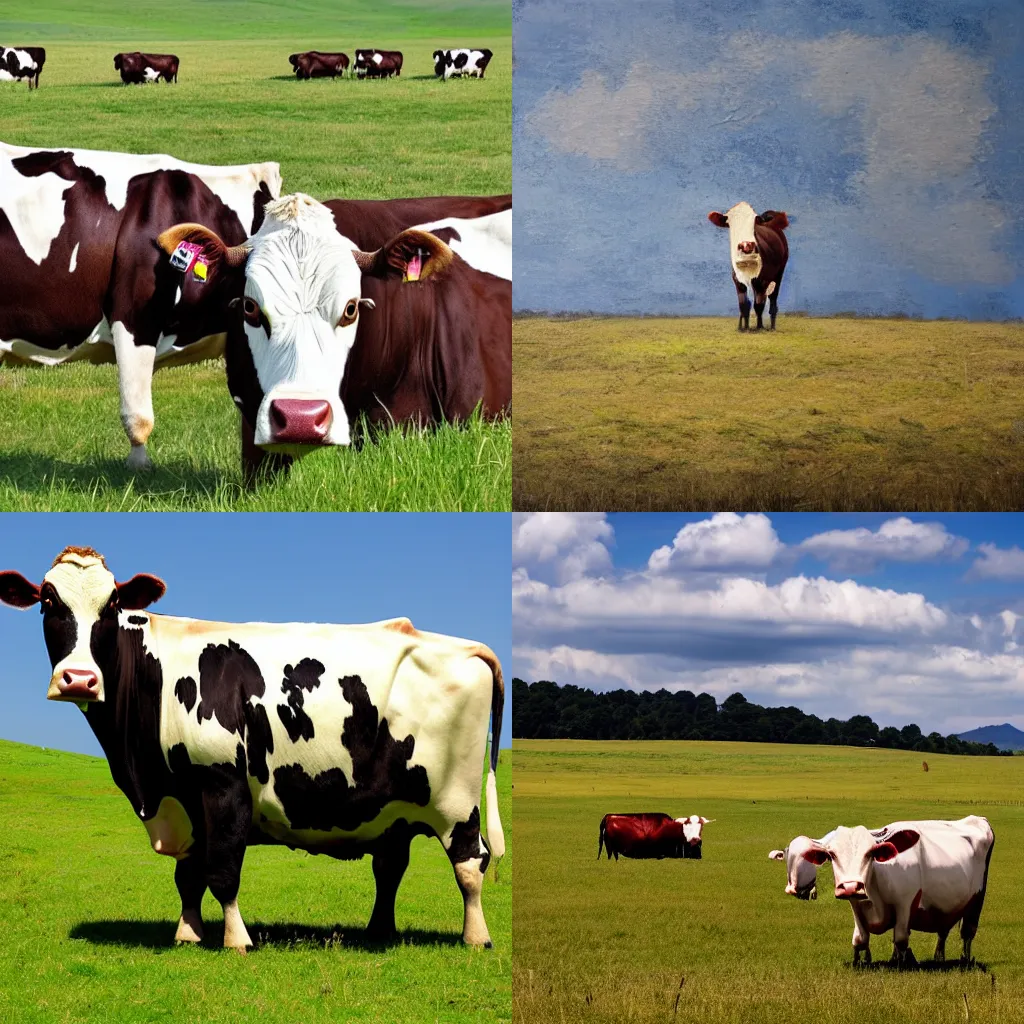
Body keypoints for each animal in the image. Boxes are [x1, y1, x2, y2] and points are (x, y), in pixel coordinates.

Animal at [0, 544, 503, 950]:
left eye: (113, 604)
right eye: (48, 602)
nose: (79, 679)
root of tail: (464, 645)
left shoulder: (221, 783)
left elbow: (222, 871)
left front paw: (236, 940)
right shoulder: (185, 798)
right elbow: (188, 876)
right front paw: (187, 934)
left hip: (456, 799)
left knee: (470, 862)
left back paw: (476, 938)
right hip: (394, 808)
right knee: (391, 865)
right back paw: (380, 932)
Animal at [704, 204, 790, 335]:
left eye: (754, 222)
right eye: (730, 223)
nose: (746, 245)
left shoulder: (762, 281)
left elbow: (759, 305)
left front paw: (759, 327)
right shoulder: (738, 281)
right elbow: (744, 305)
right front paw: (744, 328)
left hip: (778, 274)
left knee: (772, 300)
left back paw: (772, 327)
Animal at [770, 815, 995, 966]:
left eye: (870, 853)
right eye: (832, 855)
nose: (851, 886)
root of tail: (978, 819)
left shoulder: (905, 904)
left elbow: (901, 938)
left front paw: (900, 964)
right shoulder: (856, 905)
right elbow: (860, 939)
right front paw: (862, 962)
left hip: (977, 901)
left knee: (967, 933)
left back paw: (965, 959)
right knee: (943, 933)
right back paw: (938, 957)